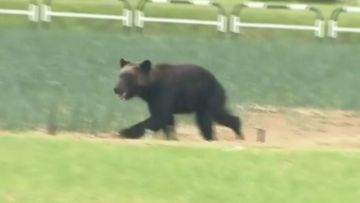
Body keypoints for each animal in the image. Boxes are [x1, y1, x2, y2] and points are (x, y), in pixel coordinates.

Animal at [114, 58, 245, 141]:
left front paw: (122, 132)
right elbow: (166, 119)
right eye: (120, 75)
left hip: (209, 96)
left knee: (209, 118)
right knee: (214, 116)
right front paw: (171, 137)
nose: (116, 89)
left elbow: (159, 117)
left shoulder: (163, 92)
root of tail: (218, 82)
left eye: (128, 77)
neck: (151, 87)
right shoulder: (153, 100)